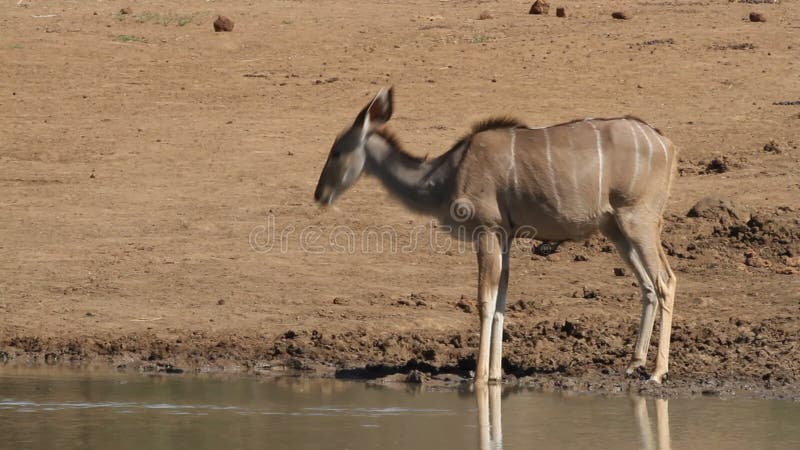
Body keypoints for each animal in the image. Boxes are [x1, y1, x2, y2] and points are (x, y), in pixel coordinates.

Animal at [312, 88, 676, 384]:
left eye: (337, 151)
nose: (320, 194)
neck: (445, 174)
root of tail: (666, 143)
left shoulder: (486, 231)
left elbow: (484, 302)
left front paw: (479, 374)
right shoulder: (505, 236)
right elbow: (501, 300)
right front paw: (497, 374)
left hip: (638, 220)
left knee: (665, 280)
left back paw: (658, 372)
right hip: (616, 228)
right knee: (647, 286)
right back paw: (633, 364)